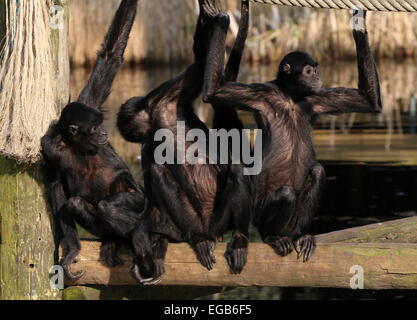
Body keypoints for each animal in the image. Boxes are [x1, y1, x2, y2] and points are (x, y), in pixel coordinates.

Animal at [40, 0, 148, 280]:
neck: (77, 145)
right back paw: (114, 239)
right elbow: (57, 186)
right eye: (95, 127)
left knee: (117, 197)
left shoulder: (90, 101)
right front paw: (71, 248)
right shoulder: (49, 147)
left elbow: (110, 56)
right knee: (77, 203)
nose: (104, 133)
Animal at [117, 0, 250, 282]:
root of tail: (209, 227)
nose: (141, 136)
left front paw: (219, 20)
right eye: (137, 136)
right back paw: (196, 238)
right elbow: (151, 178)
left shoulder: (165, 96)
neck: (157, 120)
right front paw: (145, 231)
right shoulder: (148, 146)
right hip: (192, 218)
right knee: (159, 171)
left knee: (235, 169)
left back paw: (239, 239)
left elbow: (199, 67)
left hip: (220, 219)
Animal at [203, 10, 382, 262]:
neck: (291, 96)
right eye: (308, 70)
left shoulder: (318, 97)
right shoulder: (260, 93)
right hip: (258, 213)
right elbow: (213, 94)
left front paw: (359, 24)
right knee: (286, 193)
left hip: (294, 221)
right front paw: (221, 19)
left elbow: (367, 100)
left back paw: (300, 236)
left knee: (317, 172)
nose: (317, 76)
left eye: (316, 69)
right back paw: (273, 237)